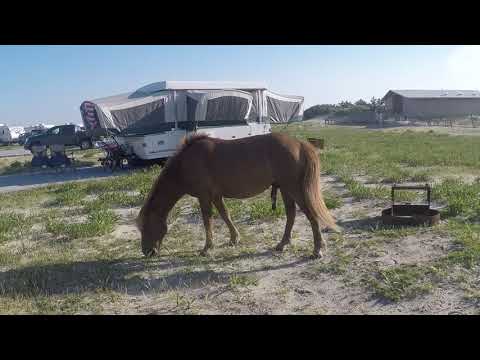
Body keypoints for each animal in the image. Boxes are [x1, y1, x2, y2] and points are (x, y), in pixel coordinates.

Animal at [135, 132, 338, 258]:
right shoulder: (216, 196)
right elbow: (225, 215)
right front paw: (234, 239)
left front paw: (207, 248)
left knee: (311, 216)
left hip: (294, 189)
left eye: (146, 227)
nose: (147, 252)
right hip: (286, 189)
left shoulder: (204, 196)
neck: (184, 164)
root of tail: (300, 144)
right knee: (291, 215)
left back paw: (317, 250)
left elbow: (207, 220)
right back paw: (283, 244)